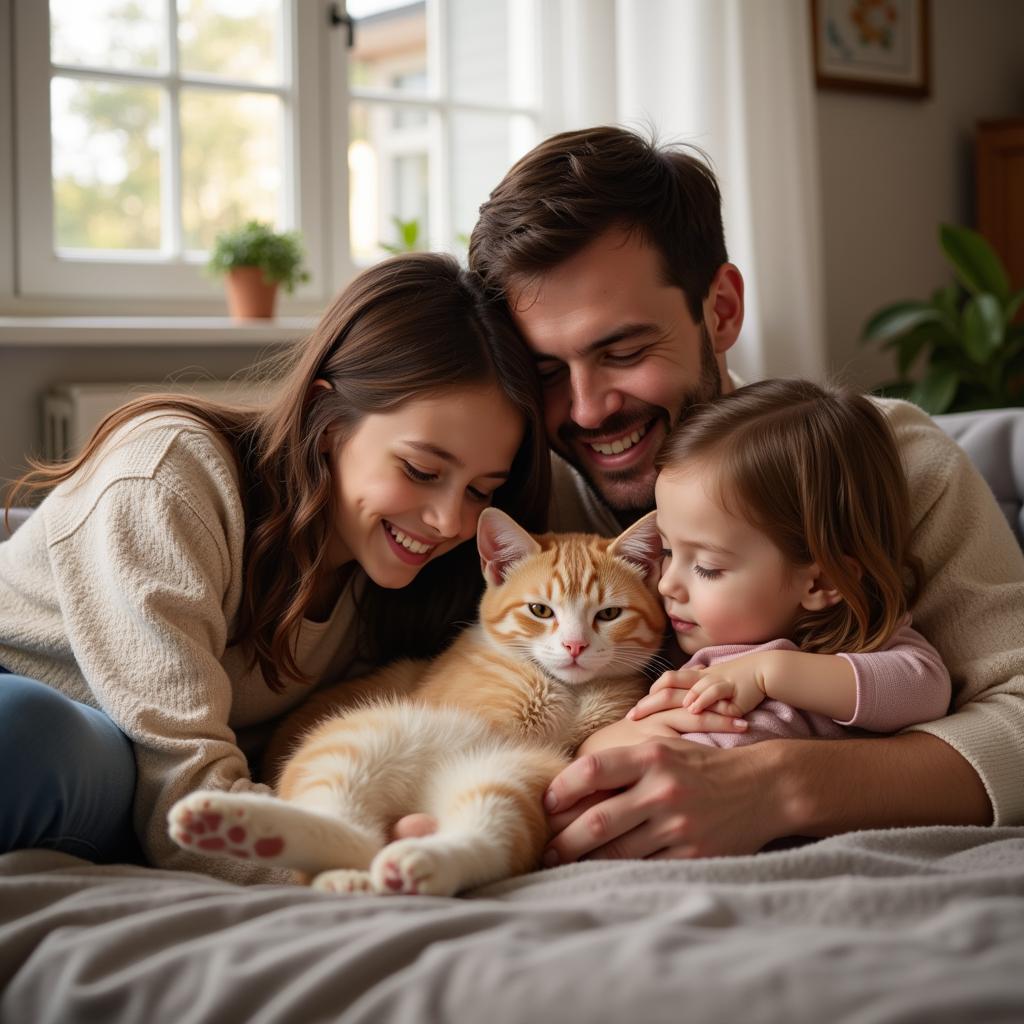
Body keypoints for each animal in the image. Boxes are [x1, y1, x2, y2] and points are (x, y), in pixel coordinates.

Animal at [167, 507, 663, 892]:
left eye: (609, 614)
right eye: (541, 611)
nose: (575, 647)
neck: (568, 691)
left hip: (507, 775)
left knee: (473, 834)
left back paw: (408, 865)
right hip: (356, 739)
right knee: (353, 829)